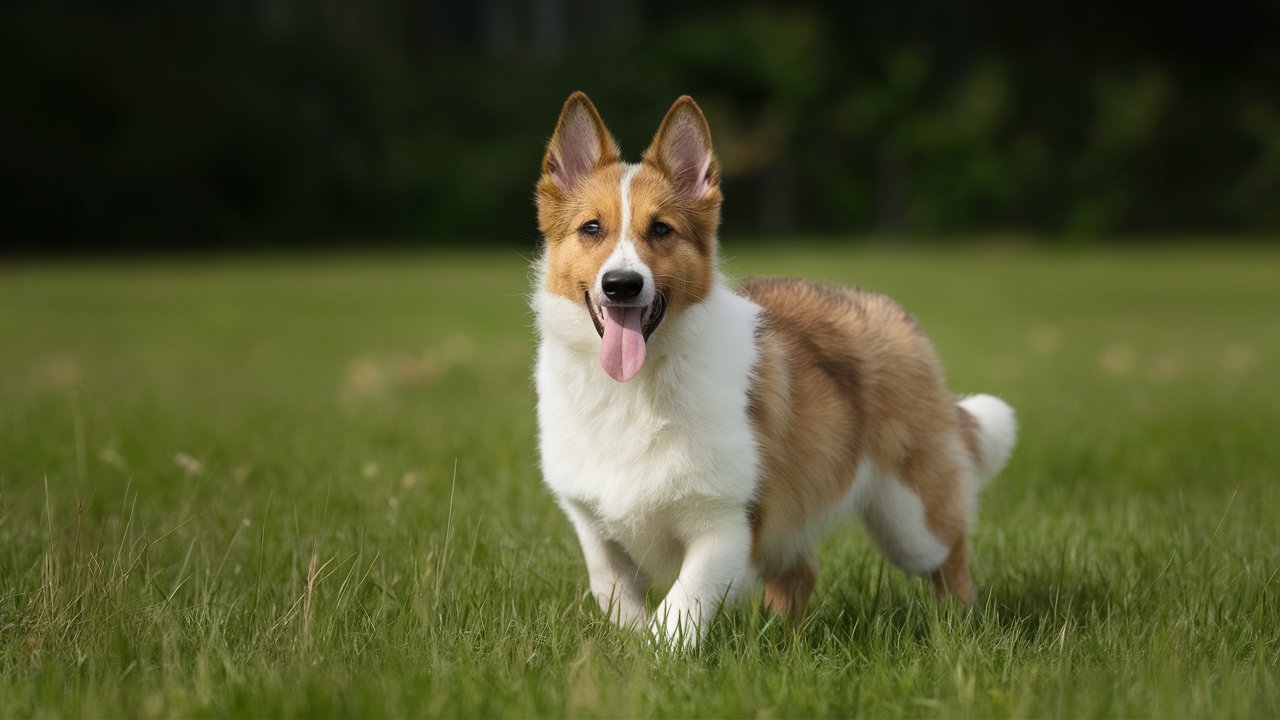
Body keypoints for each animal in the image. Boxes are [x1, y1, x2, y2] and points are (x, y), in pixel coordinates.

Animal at [532, 92, 1018, 648]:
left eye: (661, 229)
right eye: (591, 228)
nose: (621, 285)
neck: (636, 388)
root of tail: (896, 317)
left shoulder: (726, 526)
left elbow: (677, 612)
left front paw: (657, 658)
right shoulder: (595, 530)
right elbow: (616, 597)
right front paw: (628, 655)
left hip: (911, 520)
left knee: (951, 561)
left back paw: (959, 631)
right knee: (801, 571)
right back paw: (784, 641)